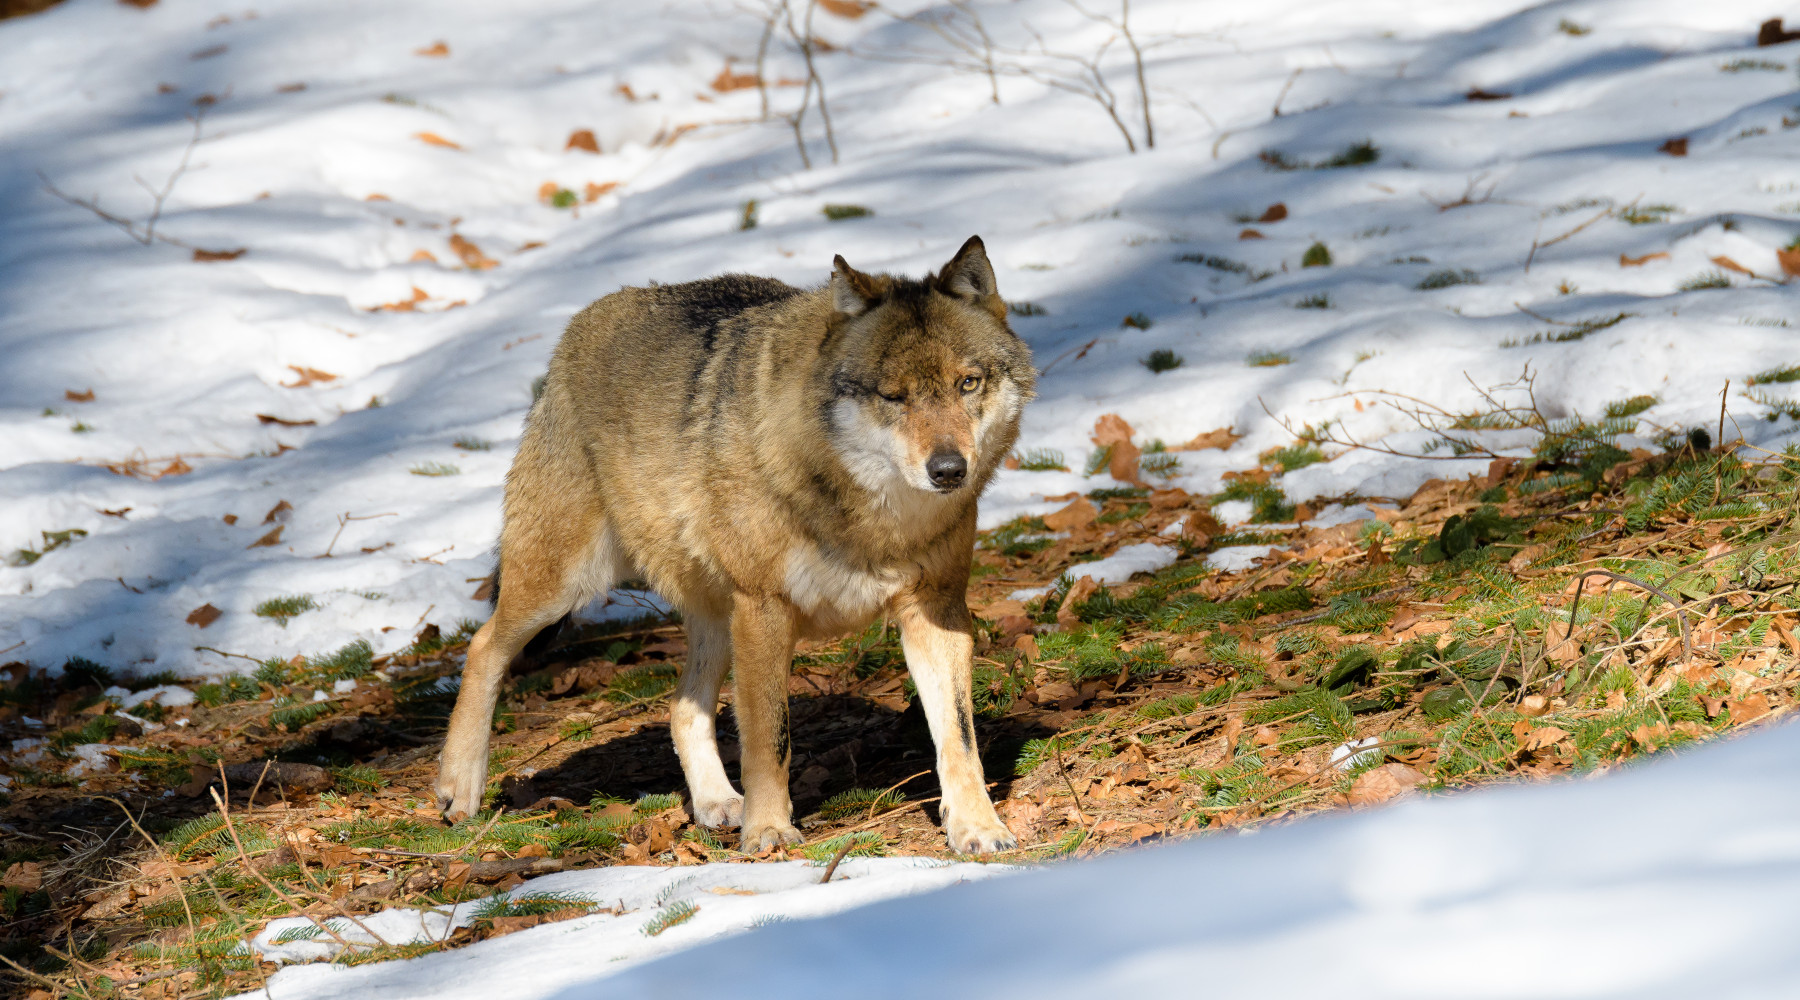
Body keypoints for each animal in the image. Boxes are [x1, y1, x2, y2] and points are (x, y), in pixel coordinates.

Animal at [434, 236, 1035, 853]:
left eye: (968, 383)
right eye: (894, 397)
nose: (949, 470)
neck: (875, 523)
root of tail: (578, 327)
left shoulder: (935, 609)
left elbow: (960, 738)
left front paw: (978, 827)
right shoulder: (764, 608)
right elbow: (770, 739)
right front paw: (768, 829)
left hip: (714, 617)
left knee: (680, 707)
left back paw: (718, 803)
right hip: (566, 587)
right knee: (483, 645)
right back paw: (460, 789)